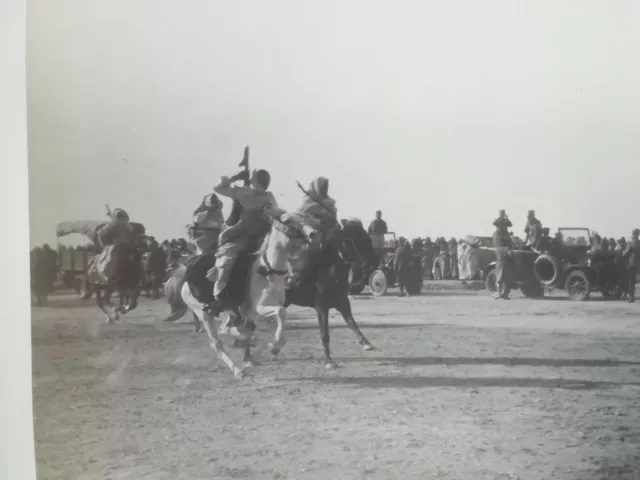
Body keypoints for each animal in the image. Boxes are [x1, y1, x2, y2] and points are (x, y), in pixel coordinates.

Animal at [165, 210, 318, 378]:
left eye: (304, 218)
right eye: (289, 220)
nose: (313, 234)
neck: (267, 271)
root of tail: (184, 277)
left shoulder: (257, 314)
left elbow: (278, 328)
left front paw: (271, 346)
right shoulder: (258, 309)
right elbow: (281, 313)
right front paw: (270, 346)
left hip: (229, 311)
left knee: (229, 330)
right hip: (204, 313)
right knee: (217, 343)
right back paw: (238, 370)